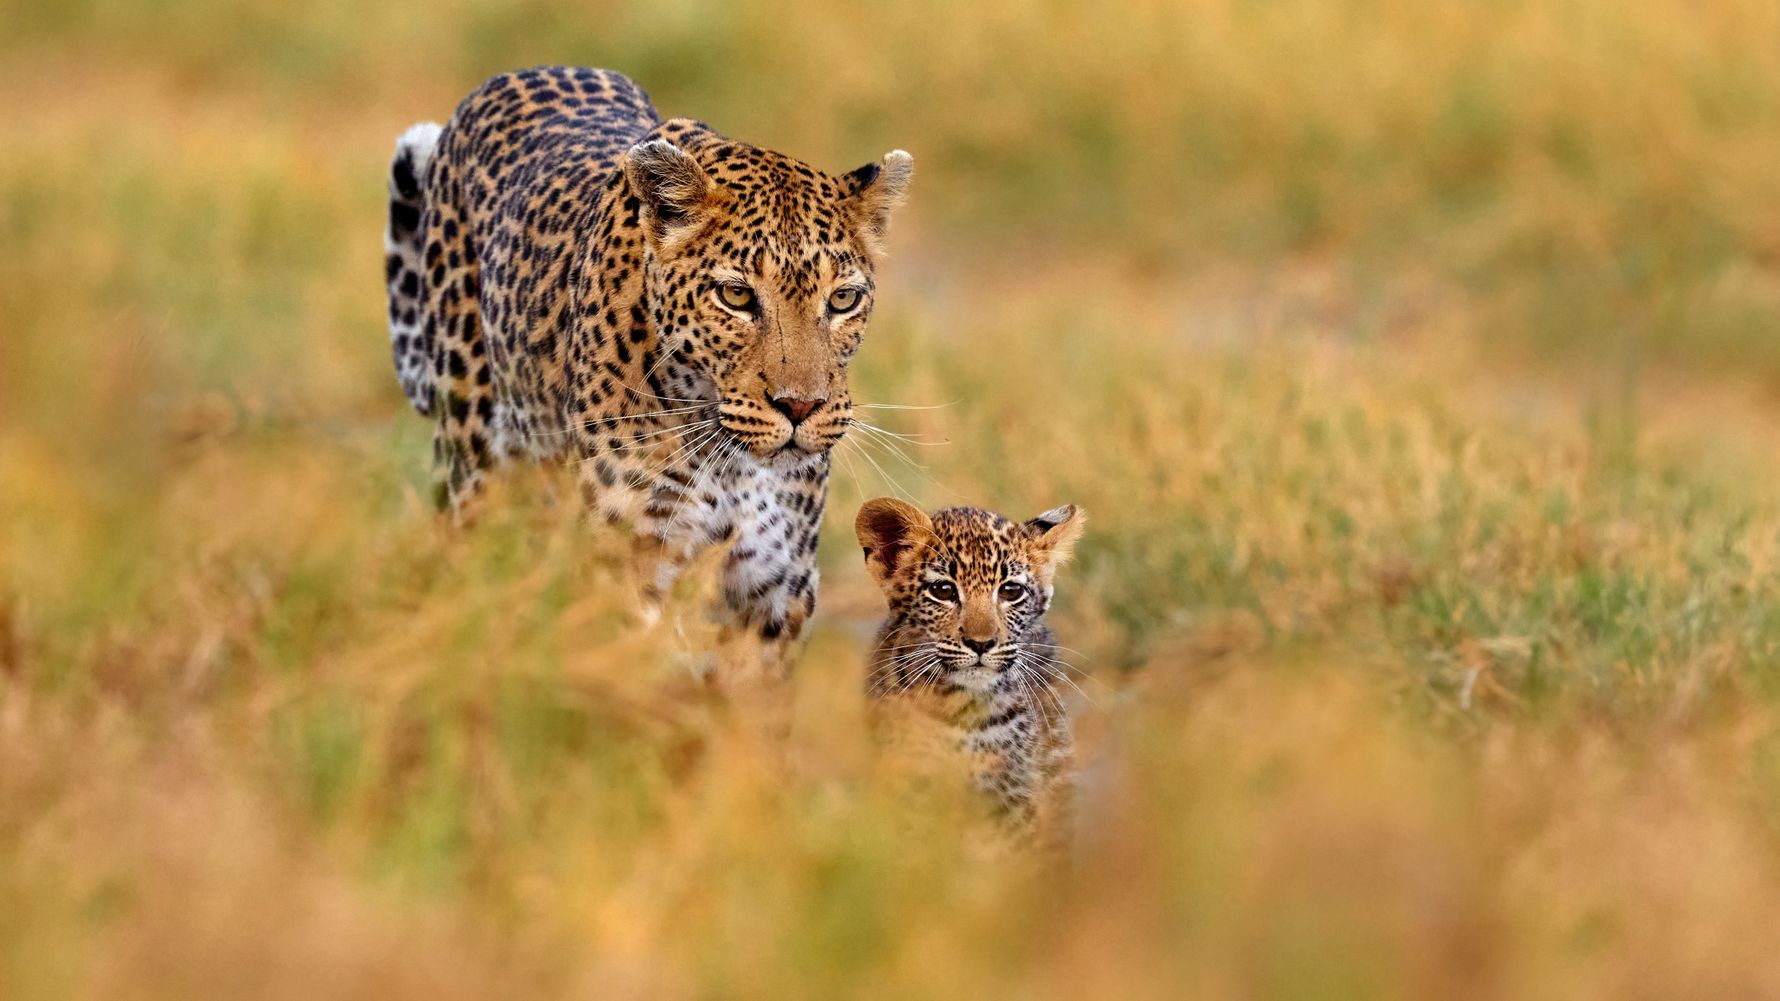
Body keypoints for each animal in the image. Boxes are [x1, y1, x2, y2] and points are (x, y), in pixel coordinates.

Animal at [382, 67, 911, 679]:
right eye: (736, 296)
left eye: (843, 300)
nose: (800, 407)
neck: (729, 461)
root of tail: (511, 76)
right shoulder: (627, 561)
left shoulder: (776, 587)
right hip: (472, 470)